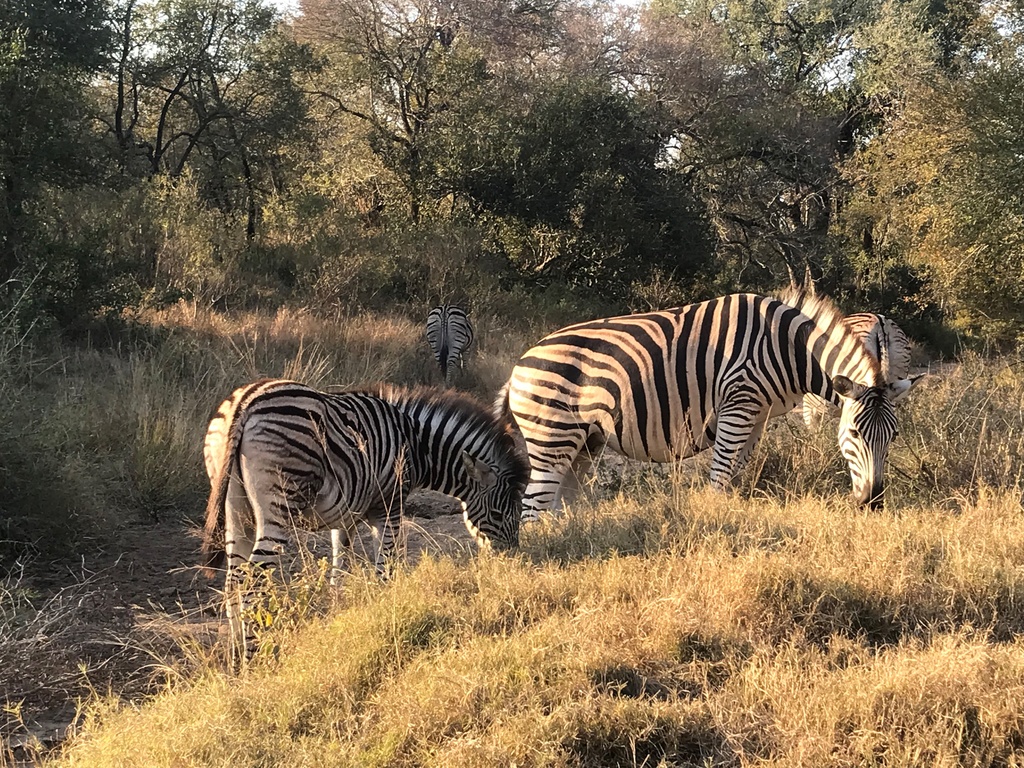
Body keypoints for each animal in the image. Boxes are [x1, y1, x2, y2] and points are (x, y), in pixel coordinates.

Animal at [202, 378, 528, 659]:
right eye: (498, 514)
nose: (511, 563)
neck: (415, 445)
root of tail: (246, 401)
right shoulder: (389, 506)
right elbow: (386, 567)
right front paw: (387, 617)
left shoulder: (346, 516)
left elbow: (338, 570)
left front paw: (336, 620)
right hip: (280, 503)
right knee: (252, 581)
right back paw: (252, 655)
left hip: (236, 510)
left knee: (233, 581)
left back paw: (236, 658)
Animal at [497, 291, 922, 520]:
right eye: (854, 433)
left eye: (893, 437)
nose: (872, 503)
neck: (788, 351)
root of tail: (519, 365)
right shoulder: (738, 404)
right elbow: (720, 475)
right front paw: (717, 524)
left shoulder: (757, 417)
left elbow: (735, 471)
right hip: (552, 436)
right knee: (532, 509)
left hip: (584, 444)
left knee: (554, 506)